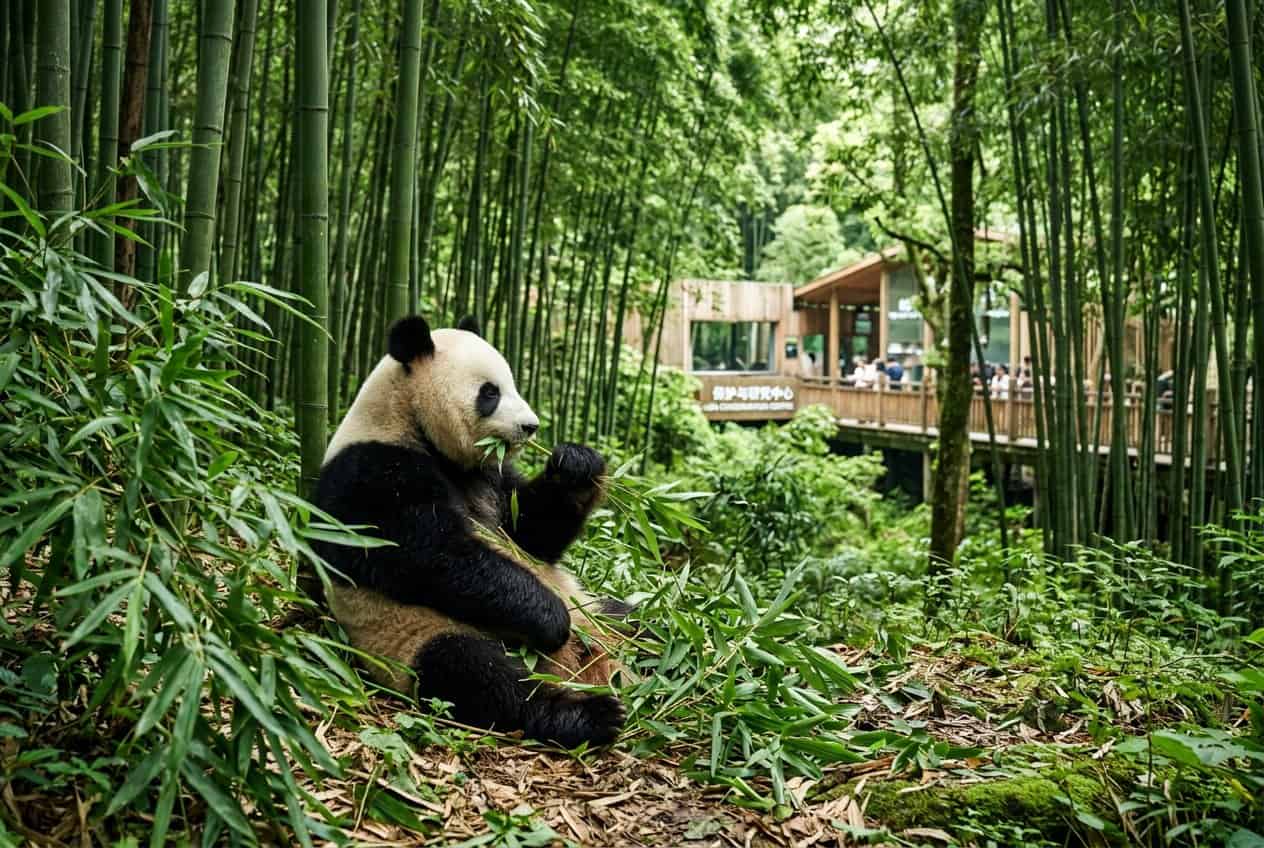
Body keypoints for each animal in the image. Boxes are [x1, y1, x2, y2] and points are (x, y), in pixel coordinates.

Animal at [312, 314, 627, 748]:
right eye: (490, 392)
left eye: (512, 383)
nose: (531, 426)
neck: (405, 417)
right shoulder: (373, 474)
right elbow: (434, 557)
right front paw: (550, 619)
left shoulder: (491, 476)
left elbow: (531, 532)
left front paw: (576, 464)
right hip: (416, 638)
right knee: (479, 675)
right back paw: (587, 714)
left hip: (595, 610)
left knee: (631, 618)